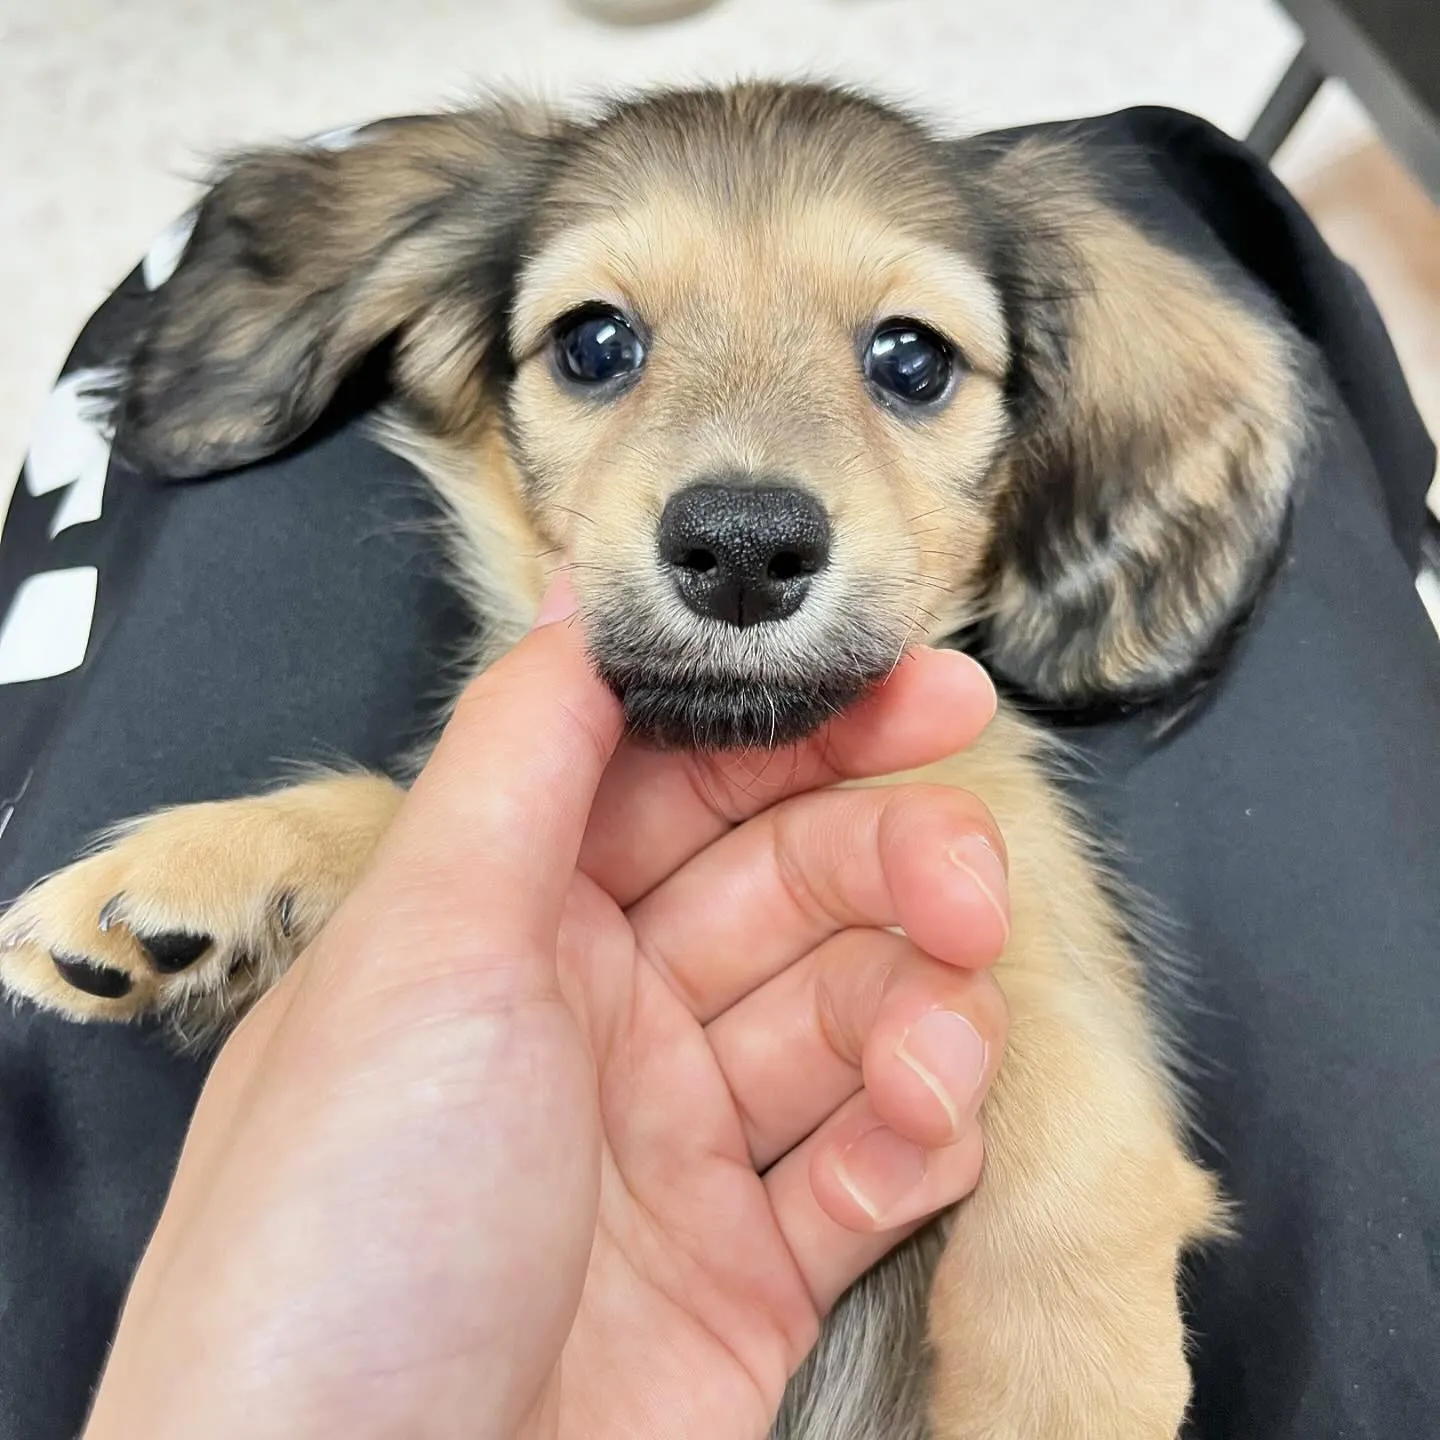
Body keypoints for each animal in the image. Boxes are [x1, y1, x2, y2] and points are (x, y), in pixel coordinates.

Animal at [0, 87, 1313, 1440]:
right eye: (594, 343)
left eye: (912, 360)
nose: (741, 547)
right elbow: (414, 817)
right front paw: (223, 870)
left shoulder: (1028, 923)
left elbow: (1061, 1089)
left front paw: (1055, 1385)